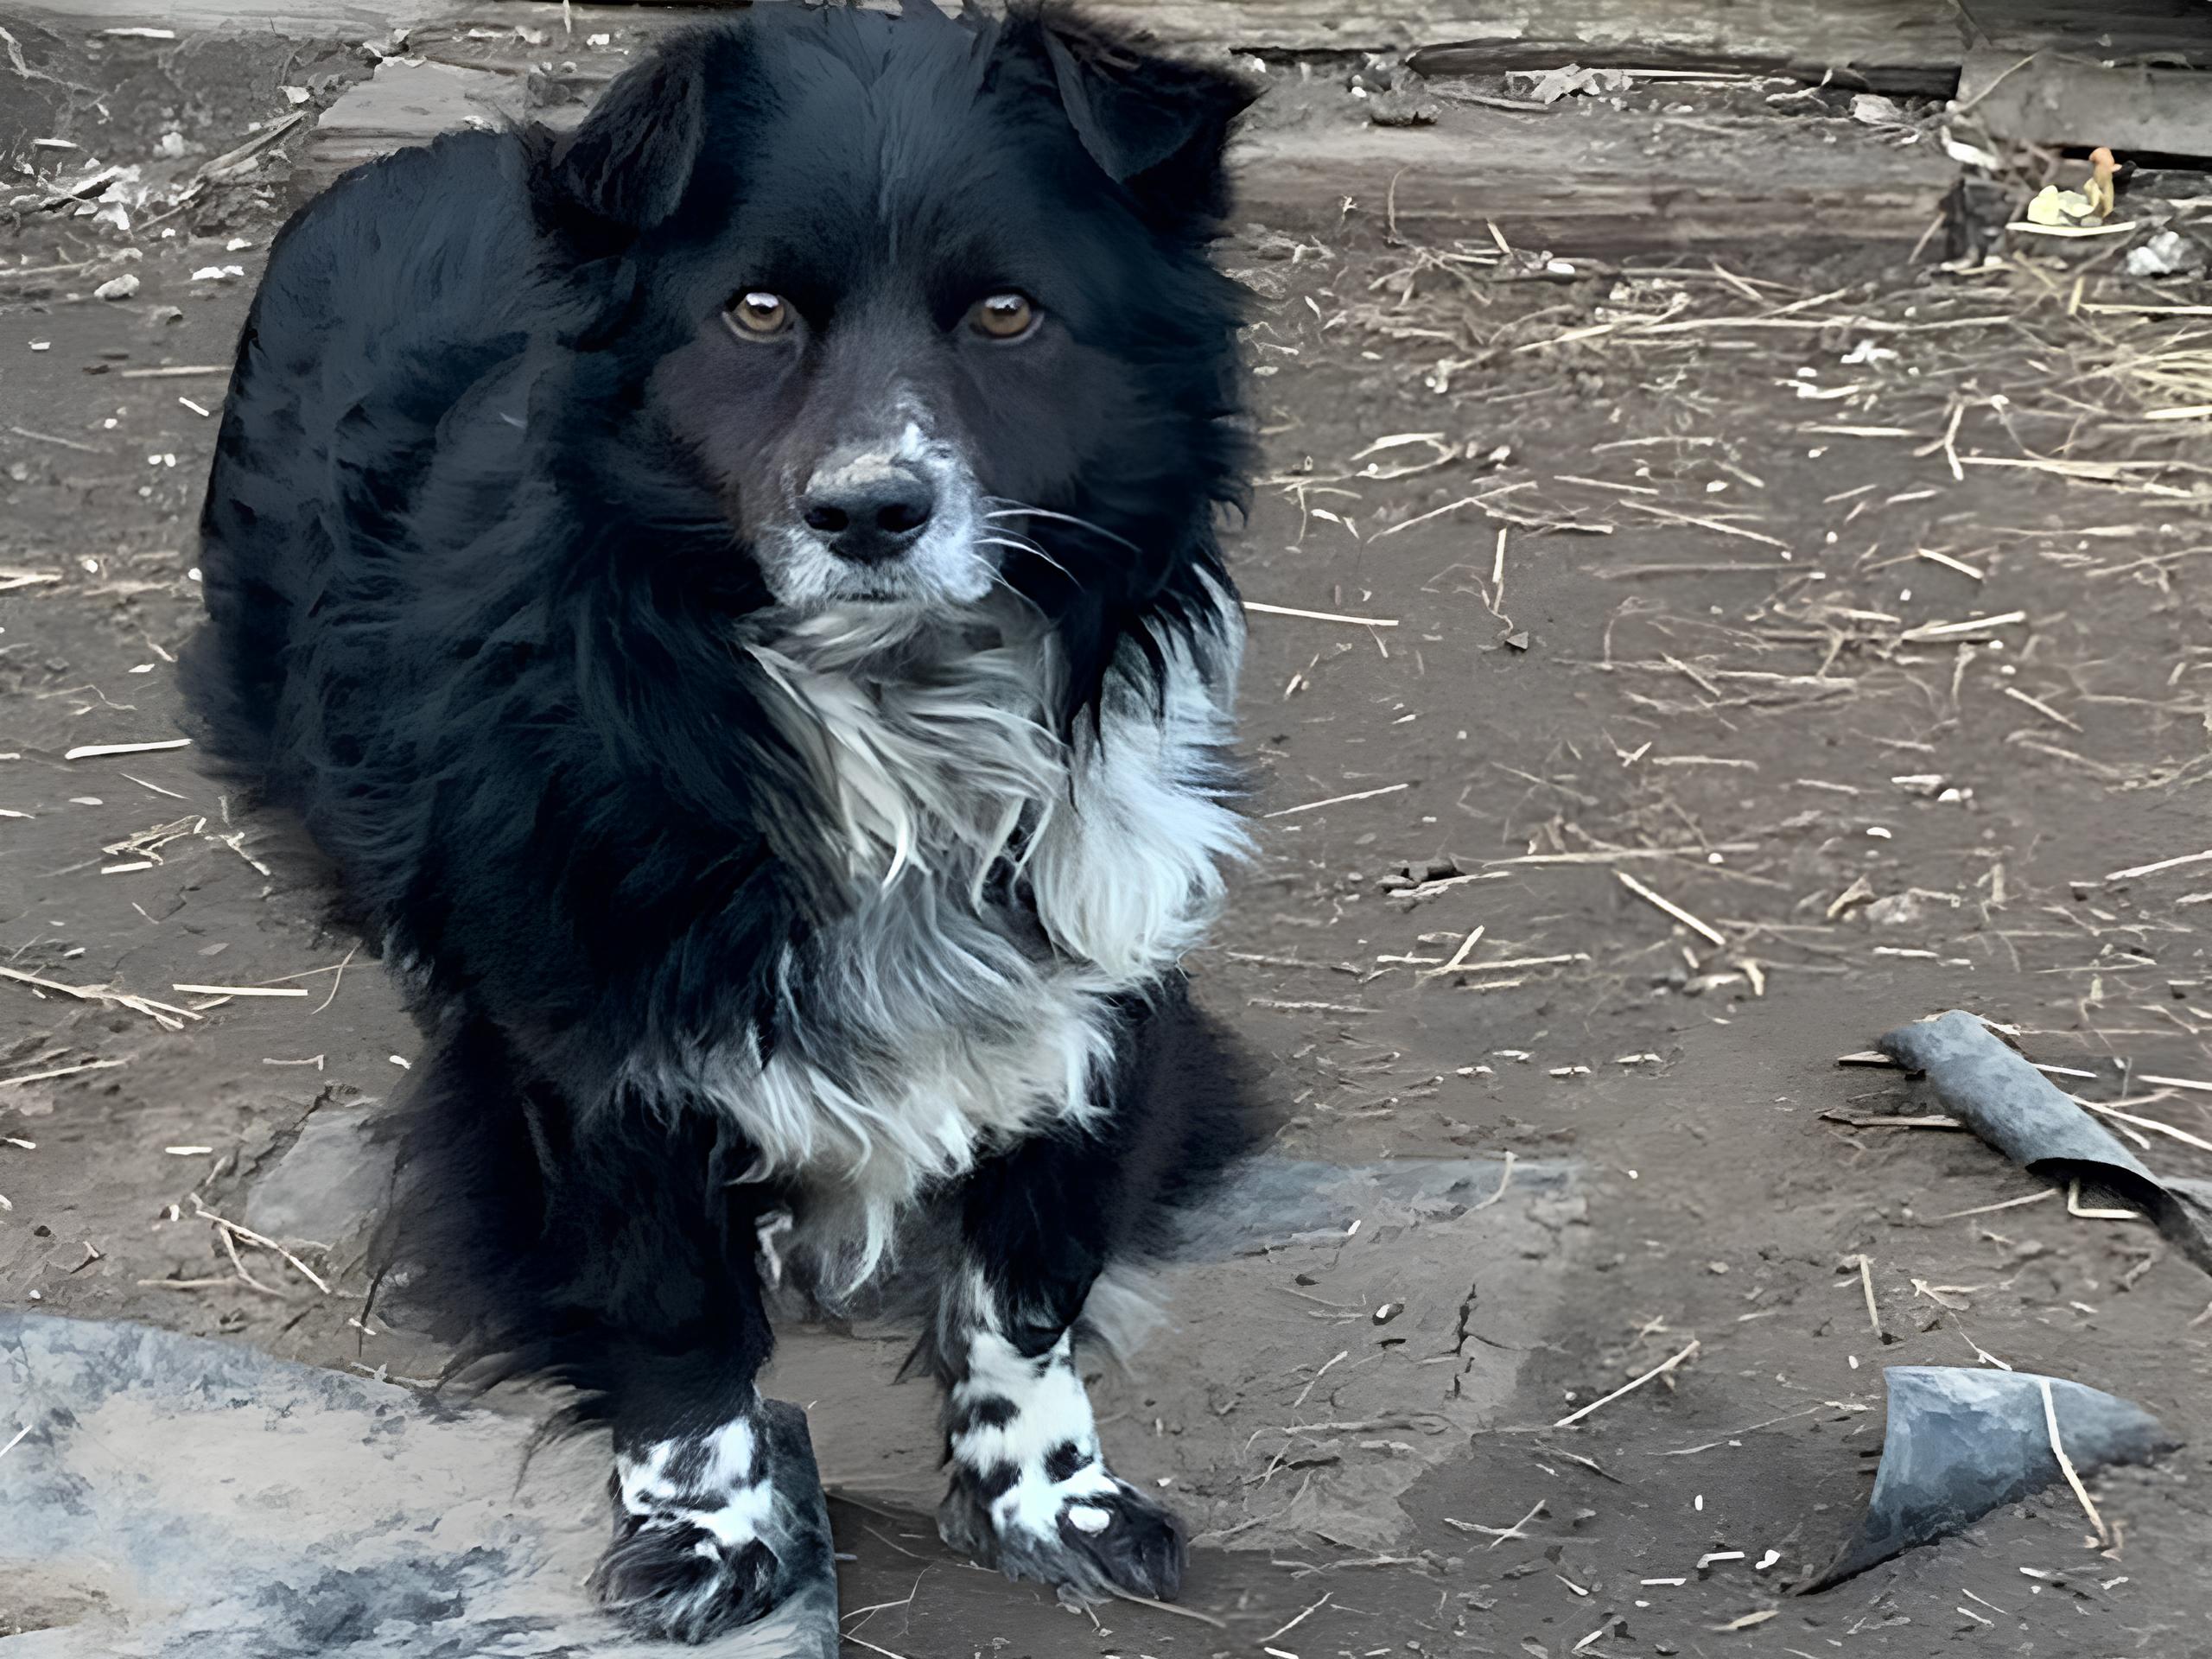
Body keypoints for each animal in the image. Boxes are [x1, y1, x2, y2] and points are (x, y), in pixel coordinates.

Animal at [179, 0, 1265, 1637]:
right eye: (757, 313)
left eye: (1006, 315)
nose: (868, 513)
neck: (893, 733)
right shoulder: (606, 1052)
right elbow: (674, 1310)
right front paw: (710, 1535)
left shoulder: (1090, 991)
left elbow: (1023, 1285)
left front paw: (1046, 1496)